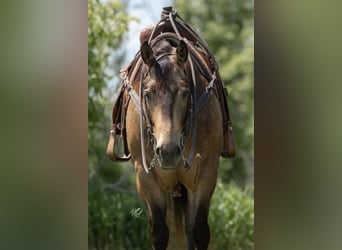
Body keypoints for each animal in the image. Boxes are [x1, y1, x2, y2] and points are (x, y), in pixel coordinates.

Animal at [107, 7, 235, 250]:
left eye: (185, 92)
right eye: (147, 94)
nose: (167, 151)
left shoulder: (206, 173)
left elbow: (199, 231)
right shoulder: (146, 176)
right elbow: (159, 233)